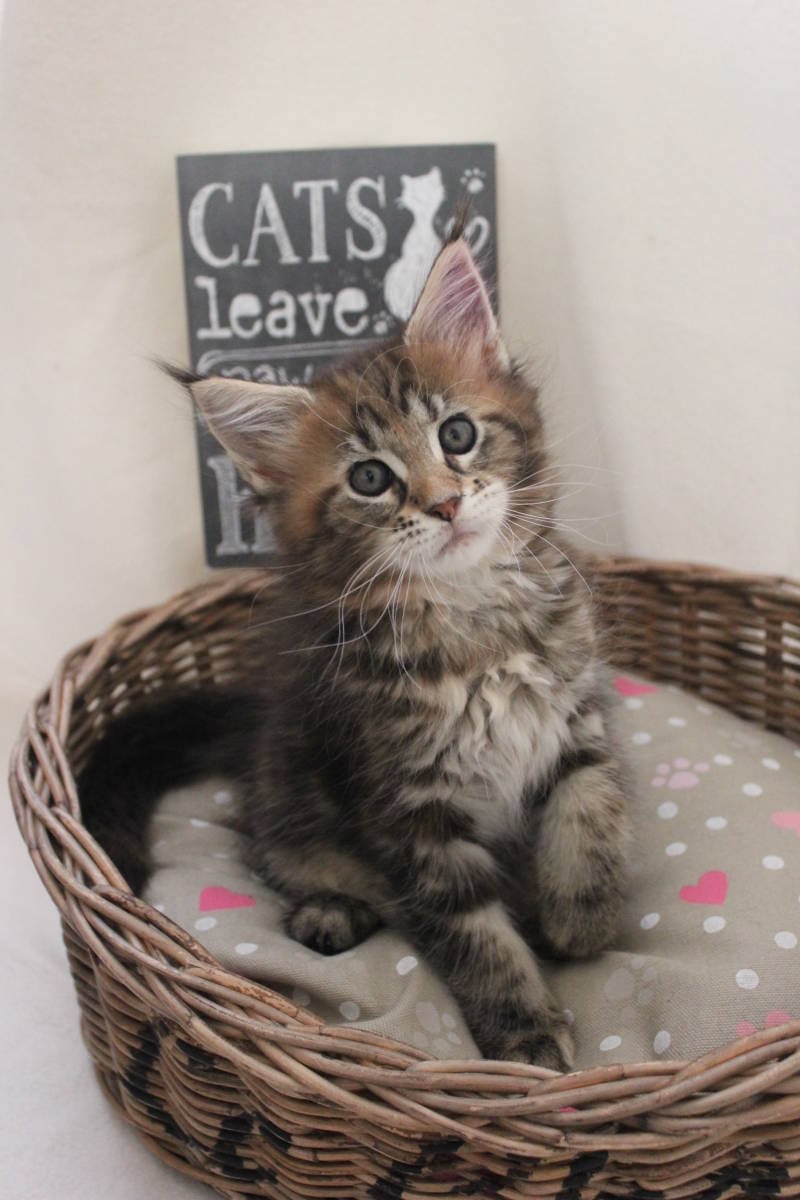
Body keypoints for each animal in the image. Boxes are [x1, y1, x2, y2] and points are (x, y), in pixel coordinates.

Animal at [81, 223, 632, 1070]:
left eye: (459, 435)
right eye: (370, 478)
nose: (445, 505)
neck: (475, 624)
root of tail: (249, 723)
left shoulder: (576, 717)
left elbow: (590, 808)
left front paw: (582, 917)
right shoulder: (409, 811)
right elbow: (473, 935)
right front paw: (525, 1036)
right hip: (289, 798)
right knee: (284, 858)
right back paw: (328, 912)